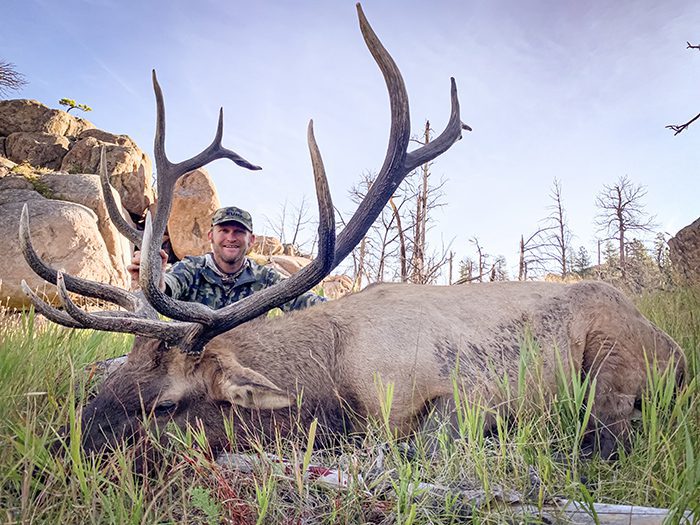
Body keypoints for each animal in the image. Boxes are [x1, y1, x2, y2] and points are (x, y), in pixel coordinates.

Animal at [19, 4, 684, 465]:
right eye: (116, 379)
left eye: (162, 404)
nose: (63, 446)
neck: (331, 382)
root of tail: (672, 346)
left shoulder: (462, 398)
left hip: (615, 360)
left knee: (610, 433)